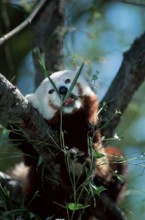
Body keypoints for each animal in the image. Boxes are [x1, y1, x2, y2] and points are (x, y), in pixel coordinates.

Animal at [8, 68, 126, 218]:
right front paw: (17, 130)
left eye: (68, 80)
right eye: (51, 91)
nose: (63, 90)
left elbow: (93, 152)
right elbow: (27, 151)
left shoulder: (91, 135)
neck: (71, 120)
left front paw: (79, 157)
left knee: (116, 160)